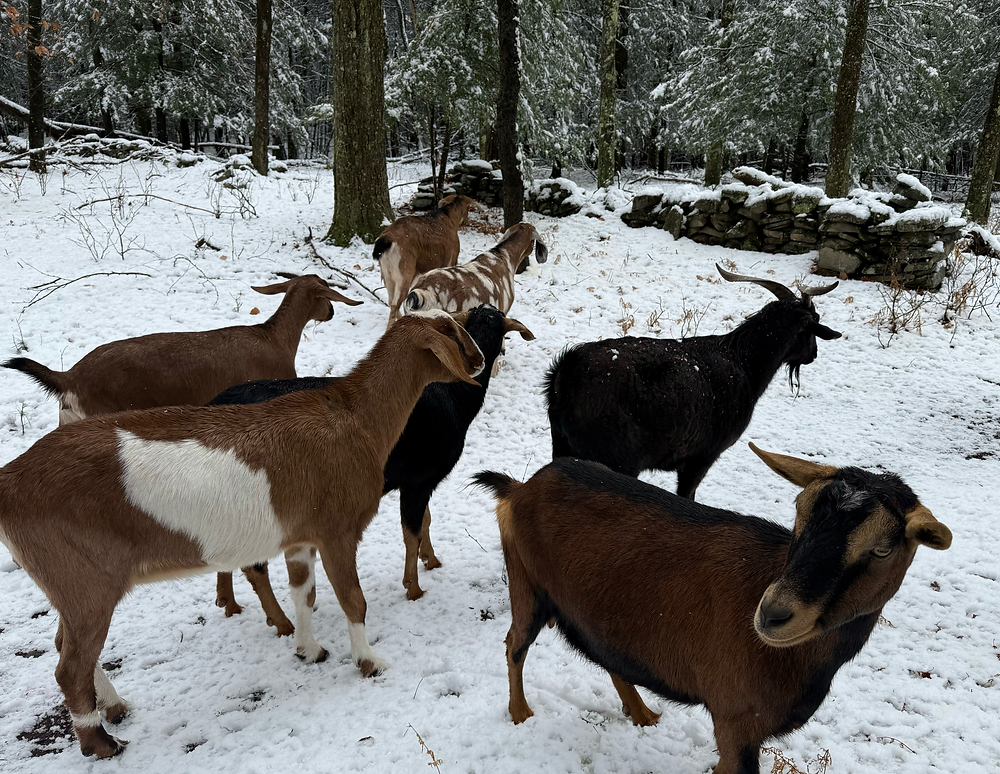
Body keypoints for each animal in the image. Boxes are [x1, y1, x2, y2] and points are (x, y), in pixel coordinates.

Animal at [0, 313, 485, 759]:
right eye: (453, 331)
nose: (480, 361)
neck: (354, 417)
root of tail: (8, 482)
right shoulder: (337, 531)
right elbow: (353, 600)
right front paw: (369, 662)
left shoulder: (300, 537)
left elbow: (304, 593)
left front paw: (309, 650)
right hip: (85, 583)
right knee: (70, 667)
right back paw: (102, 743)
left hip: (70, 586)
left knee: (65, 646)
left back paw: (116, 707)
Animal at [209, 305, 534, 637]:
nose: (479, 361)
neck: (453, 398)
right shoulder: (418, 480)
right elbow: (412, 532)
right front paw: (413, 587)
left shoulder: (417, 481)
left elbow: (425, 522)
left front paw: (432, 561)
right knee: (254, 565)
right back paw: (281, 622)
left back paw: (229, 602)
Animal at [374, 194, 476, 329]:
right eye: (468, 208)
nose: (467, 221)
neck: (449, 218)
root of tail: (386, 240)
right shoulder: (451, 258)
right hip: (404, 272)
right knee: (396, 302)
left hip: (387, 273)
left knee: (391, 300)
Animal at [475, 444, 951, 774]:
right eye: (798, 512)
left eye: (883, 548)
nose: (772, 614)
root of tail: (518, 490)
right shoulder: (734, 720)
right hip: (526, 585)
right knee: (514, 643)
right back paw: (520, 714)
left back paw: (642, 714)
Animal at [545, 264, 840, 499]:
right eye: (815, 322)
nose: (813, 355)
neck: (743, 363)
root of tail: (567, 371)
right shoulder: (702, 457)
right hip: (614, 459)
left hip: (562, 446)